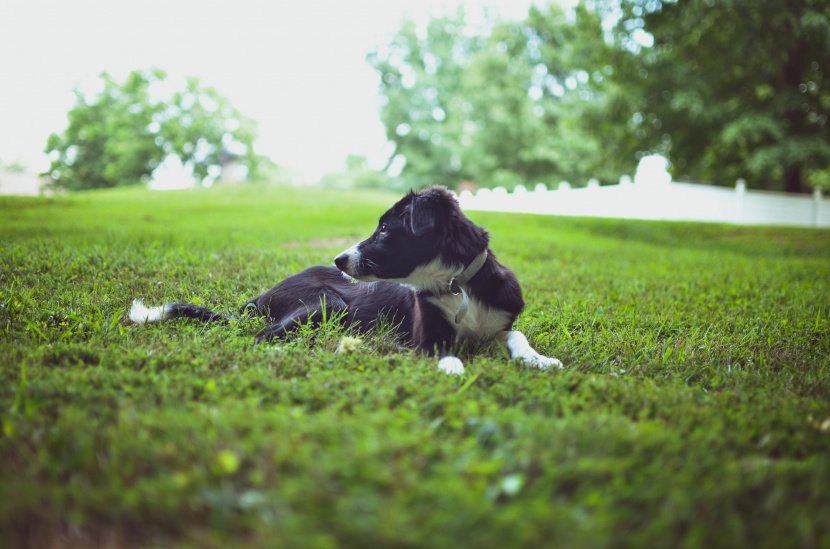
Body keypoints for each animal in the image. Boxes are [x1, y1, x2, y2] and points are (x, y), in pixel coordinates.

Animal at [130, 186, 564, 374]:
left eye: (386, 229)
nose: (338, 260)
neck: (457, 285)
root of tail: (258, 299)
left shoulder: (499, 321)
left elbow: (516, 335)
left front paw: (540, 359)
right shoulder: (427, 334)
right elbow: (447, 352)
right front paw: (453, 368)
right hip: (328, 302)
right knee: (261, 336)